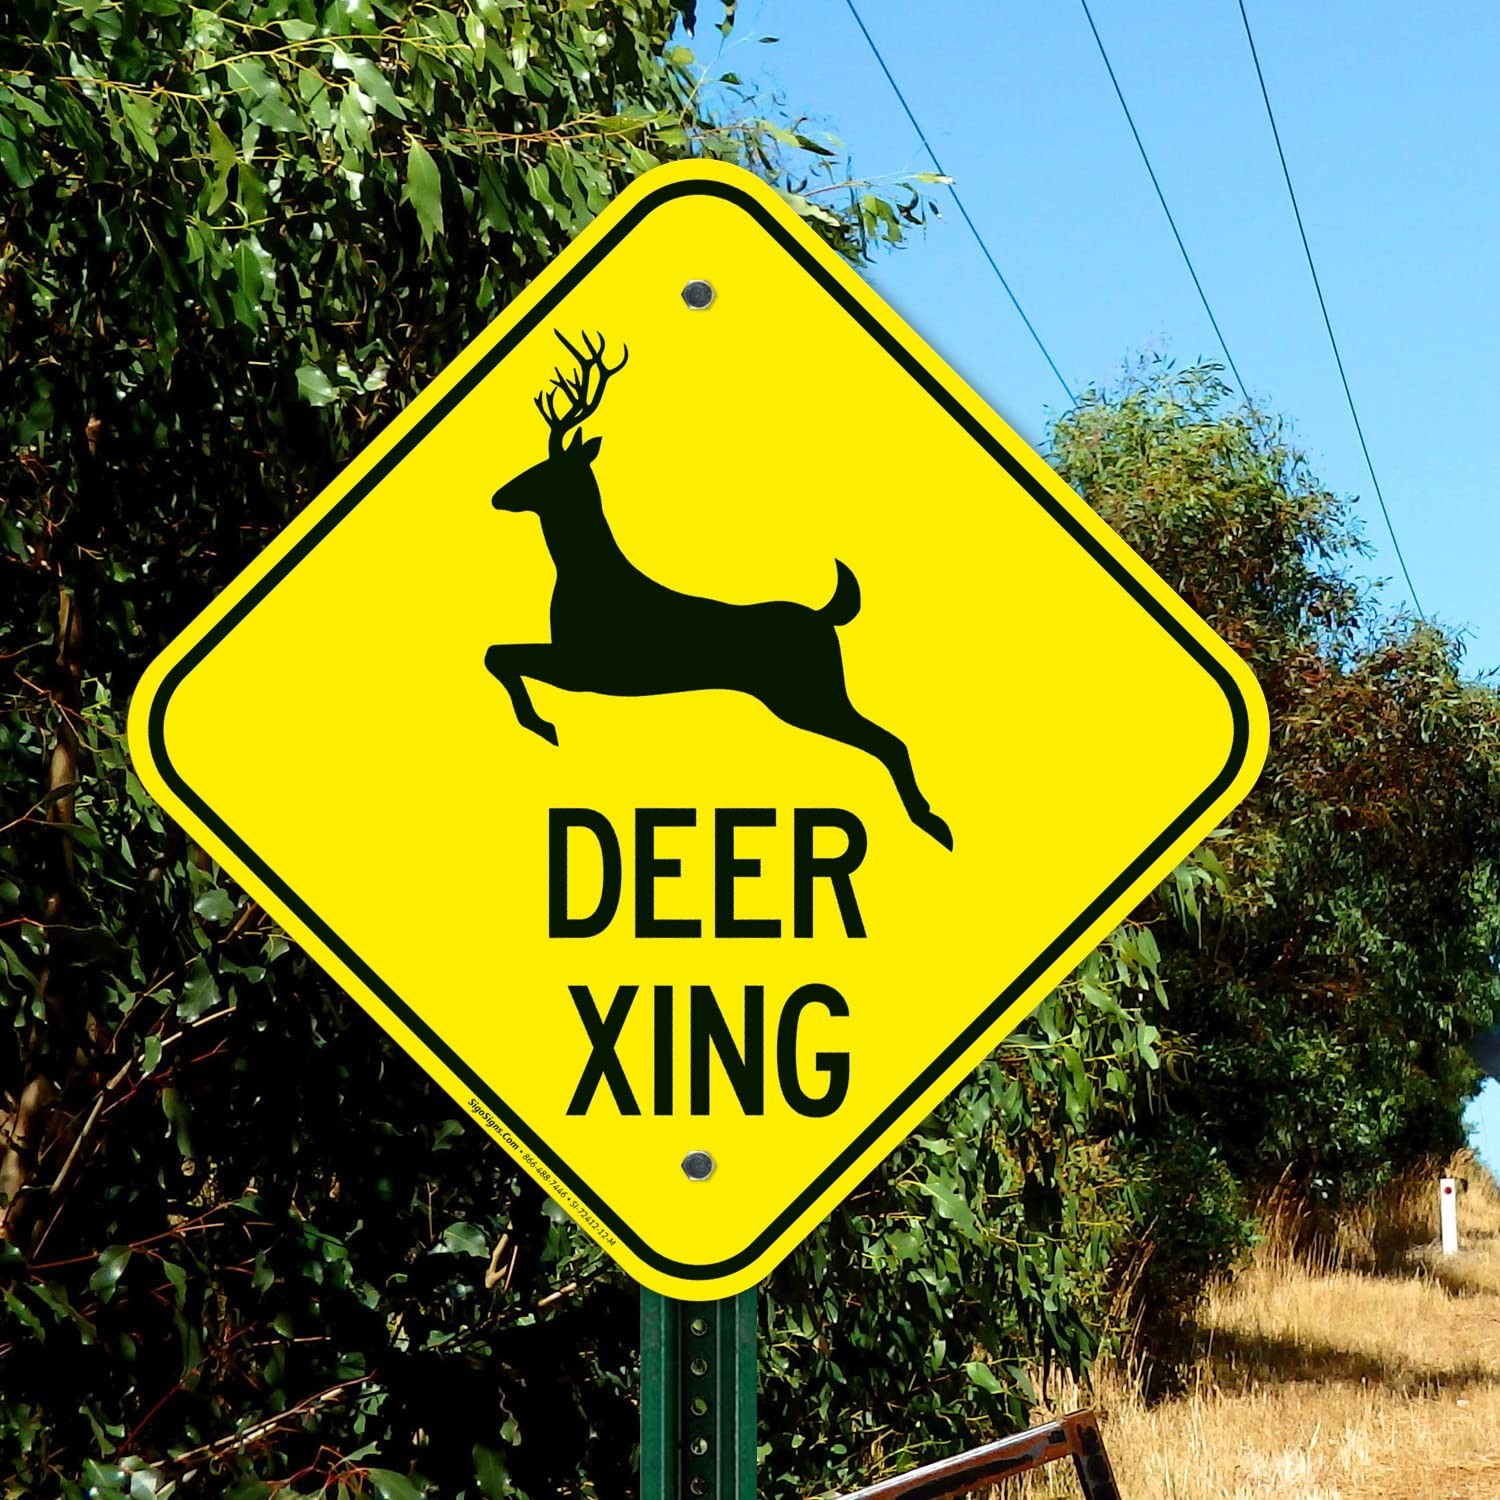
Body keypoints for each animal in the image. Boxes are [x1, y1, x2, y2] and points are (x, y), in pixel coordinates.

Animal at [484, 330, 953, 850]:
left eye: (545, 470)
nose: (499, 495)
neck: (585, 575)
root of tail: (823, 616)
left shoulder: (586, 665)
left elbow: (498, 655)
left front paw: (542, 725)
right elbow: (497, 654)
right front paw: (540, 722)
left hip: (808, 694)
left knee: (890, 740)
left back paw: (934, 823)